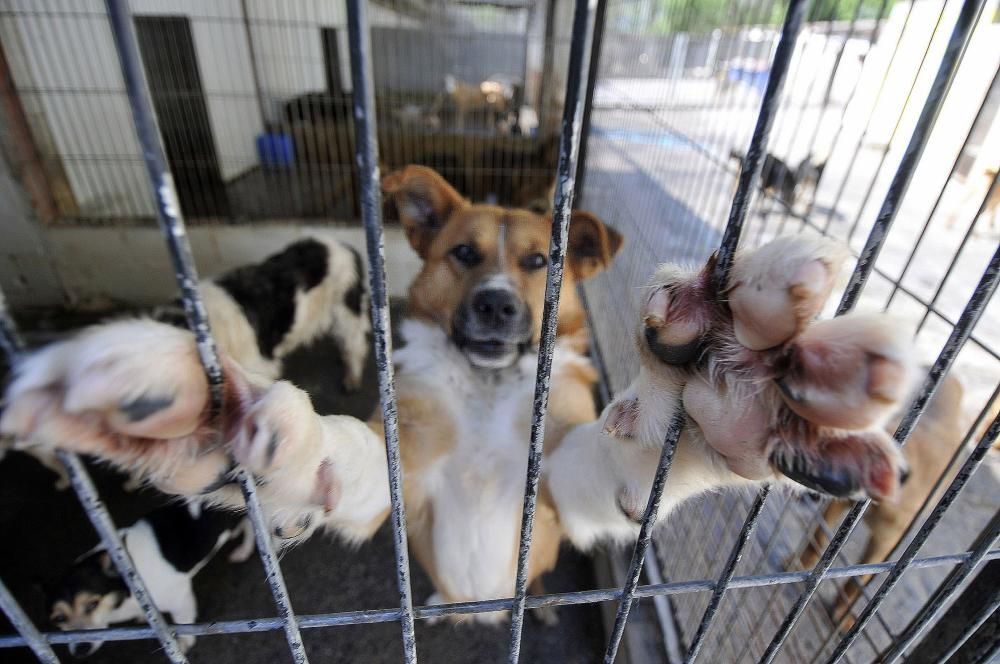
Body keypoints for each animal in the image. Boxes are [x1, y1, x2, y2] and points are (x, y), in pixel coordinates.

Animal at [0, 165, 916, 624]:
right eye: (464, 255)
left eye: (542, 263)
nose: (499, 307)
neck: (487, 386)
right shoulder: (392, 485)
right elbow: (341, 456)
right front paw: (233, 420)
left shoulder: (560, 488)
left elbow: (627, 456)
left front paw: (723, 405)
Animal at [46, 506, 254, 656]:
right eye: (59, 618)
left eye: (92, 604)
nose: (81, 650)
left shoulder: (180, 599)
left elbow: (183, 623)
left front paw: (184, 643)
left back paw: (245, 549)